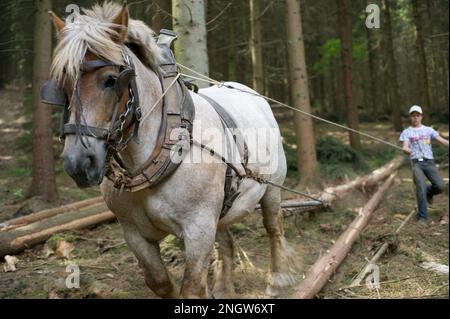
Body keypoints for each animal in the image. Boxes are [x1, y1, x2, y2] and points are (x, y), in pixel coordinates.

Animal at [45, 1, 298, 298]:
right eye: (62, 83)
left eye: (110, 80)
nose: (78, 163)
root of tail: (252, 93)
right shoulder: (134, 233)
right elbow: (159, 281)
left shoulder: (199, 228)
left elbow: (192, 288)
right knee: (226, 241)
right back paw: (224, 288)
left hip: (271, 188)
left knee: (273, 227)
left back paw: (277, 280)